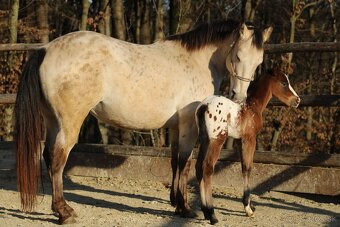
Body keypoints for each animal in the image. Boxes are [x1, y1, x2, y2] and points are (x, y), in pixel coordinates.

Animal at [194, 68, 300, 224]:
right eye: (283, 83)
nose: (297, 100)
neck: (252, 108)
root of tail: (204, 106)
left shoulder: (239, 141)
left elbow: (243, 167)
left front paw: (250, 206)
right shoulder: (249, 139)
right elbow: (248, 168)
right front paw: (248, 209)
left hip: (204, 140)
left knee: (198, 167)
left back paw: (205, 212)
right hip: (217, 140)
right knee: (207, 168)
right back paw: (212, 214)